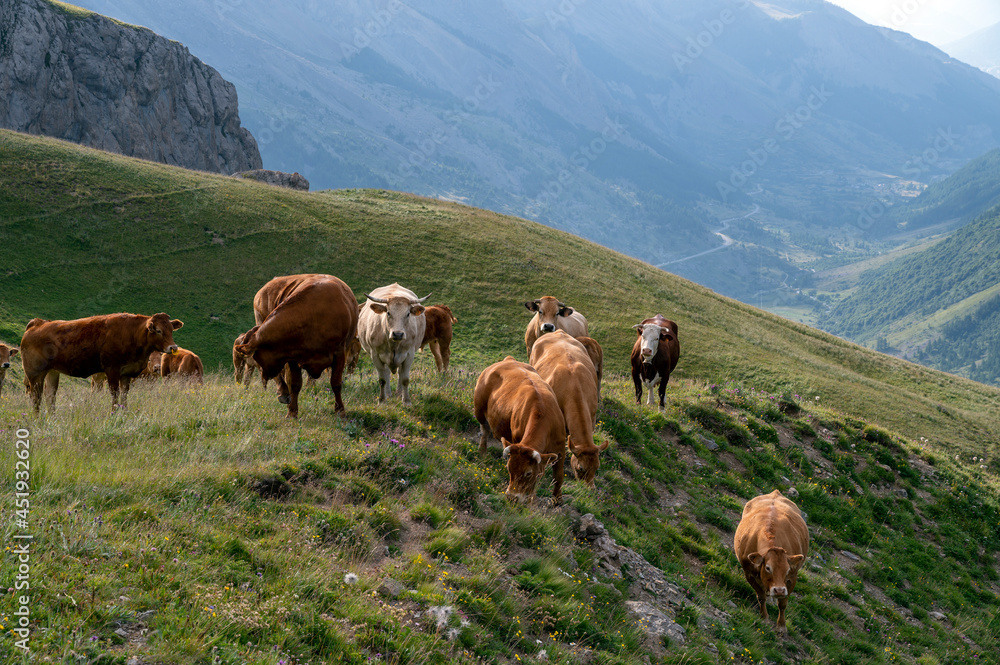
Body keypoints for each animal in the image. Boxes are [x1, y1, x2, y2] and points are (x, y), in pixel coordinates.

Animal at [21, 312, 184, 410]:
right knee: (35, 398)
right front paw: (113, 414)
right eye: (158, 330)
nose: (173, 347)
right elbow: (114, 395)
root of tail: (38, 323)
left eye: (171, 329)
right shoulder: (112, 370)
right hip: (35, 374)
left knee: (50, 397)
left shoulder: (127, 373)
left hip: (52, 372)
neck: (133, 334)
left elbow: (124, 395)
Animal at [234, 274, 360, 416]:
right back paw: (283, 393)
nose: (264, 375)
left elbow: (336, 383)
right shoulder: (291, 356)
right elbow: (294, 384)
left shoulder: (340, 353)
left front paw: (340, 411)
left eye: (257, 357)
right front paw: (292, 413)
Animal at [476, 358, 572, 504]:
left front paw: (557, 500)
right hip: (479, 410)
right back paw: (482, 452)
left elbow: (558, 476)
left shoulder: (560, 449)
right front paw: (531, 498)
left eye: (528, 473)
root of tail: (509, 359)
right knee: (484, 430)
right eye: (508, 468)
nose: (511, 497)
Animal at [528, 330, 604, 486]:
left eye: (597, 467)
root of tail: (559, 331)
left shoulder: (593, 418)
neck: (574, 387)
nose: (589, 488)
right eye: (581, 468)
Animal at [736, 488, 812, 632]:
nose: (779, 590)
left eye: (787, 569)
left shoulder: (792, 578)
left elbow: (782, 604)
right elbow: (761, 597)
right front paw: (764, 617)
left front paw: (781, 626)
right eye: (768, 567)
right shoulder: (748, 573)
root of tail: (775, 492)